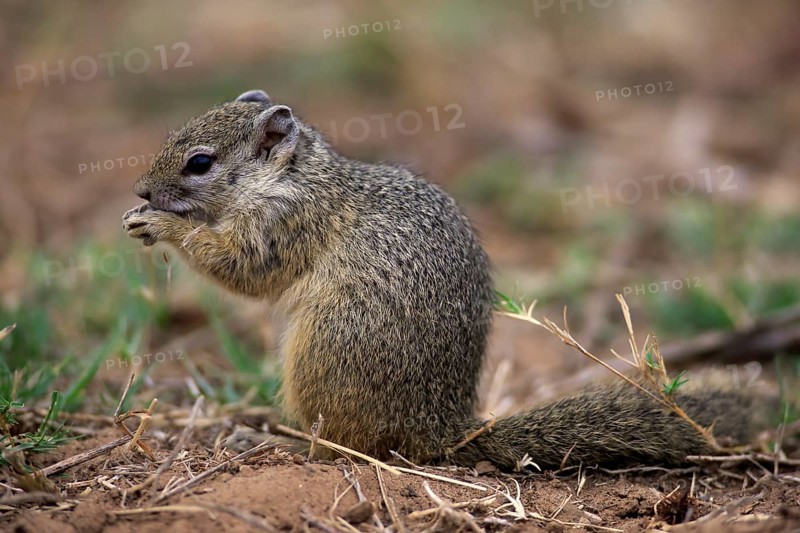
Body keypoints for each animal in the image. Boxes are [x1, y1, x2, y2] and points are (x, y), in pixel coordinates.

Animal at [123, 90, 770, 470]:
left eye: (200, 163)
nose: (141, 189)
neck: (295, 176)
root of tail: (441, 430)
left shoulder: (283, 224)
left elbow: (244, 270)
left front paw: (161, 225)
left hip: (323, 352)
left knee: (349, 444)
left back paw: (285, 442)